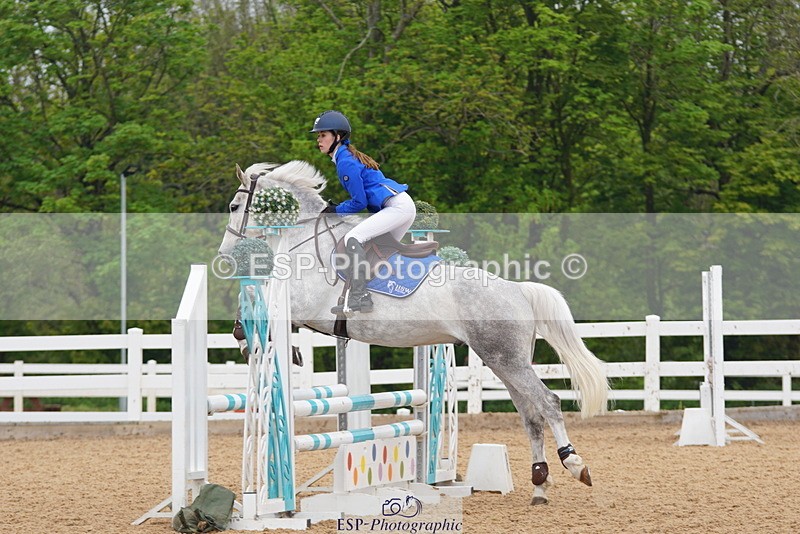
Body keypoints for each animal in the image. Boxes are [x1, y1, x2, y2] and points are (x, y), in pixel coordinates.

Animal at [218, 160, 609, 505]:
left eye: (234, 206)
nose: (225, 256)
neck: (303, 240)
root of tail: (518, 290)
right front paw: (267, 345)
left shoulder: (303, 306)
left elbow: (257, 304)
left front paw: (250, 339)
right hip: (505, 362)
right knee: (531, 416)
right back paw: (539, 485)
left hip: (506, 359)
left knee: (548, 403)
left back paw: (575, 464)